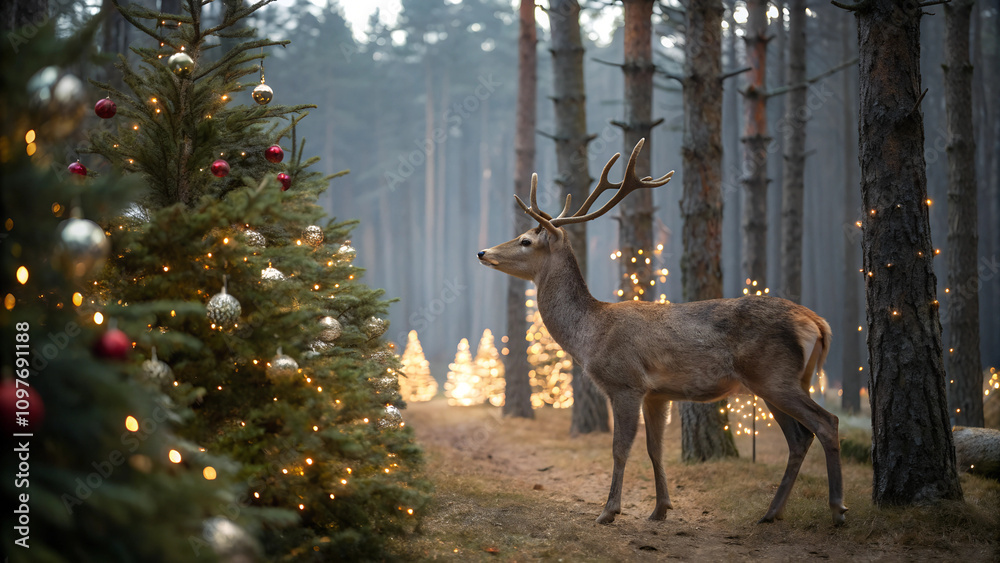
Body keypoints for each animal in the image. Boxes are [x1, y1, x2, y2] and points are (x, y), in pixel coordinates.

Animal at [477, 139, 847, 526]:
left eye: (525, 241)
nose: (482, 251)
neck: (589, 335)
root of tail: (818, 323)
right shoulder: (658, 393)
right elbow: (655, 449)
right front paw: (660, 509)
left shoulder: (625, 382)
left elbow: (620, 448)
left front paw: (609, 511)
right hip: (780, 381)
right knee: (799, 438)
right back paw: (772, 513)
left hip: (774, 375)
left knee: (827, 422)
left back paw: (837, 509)